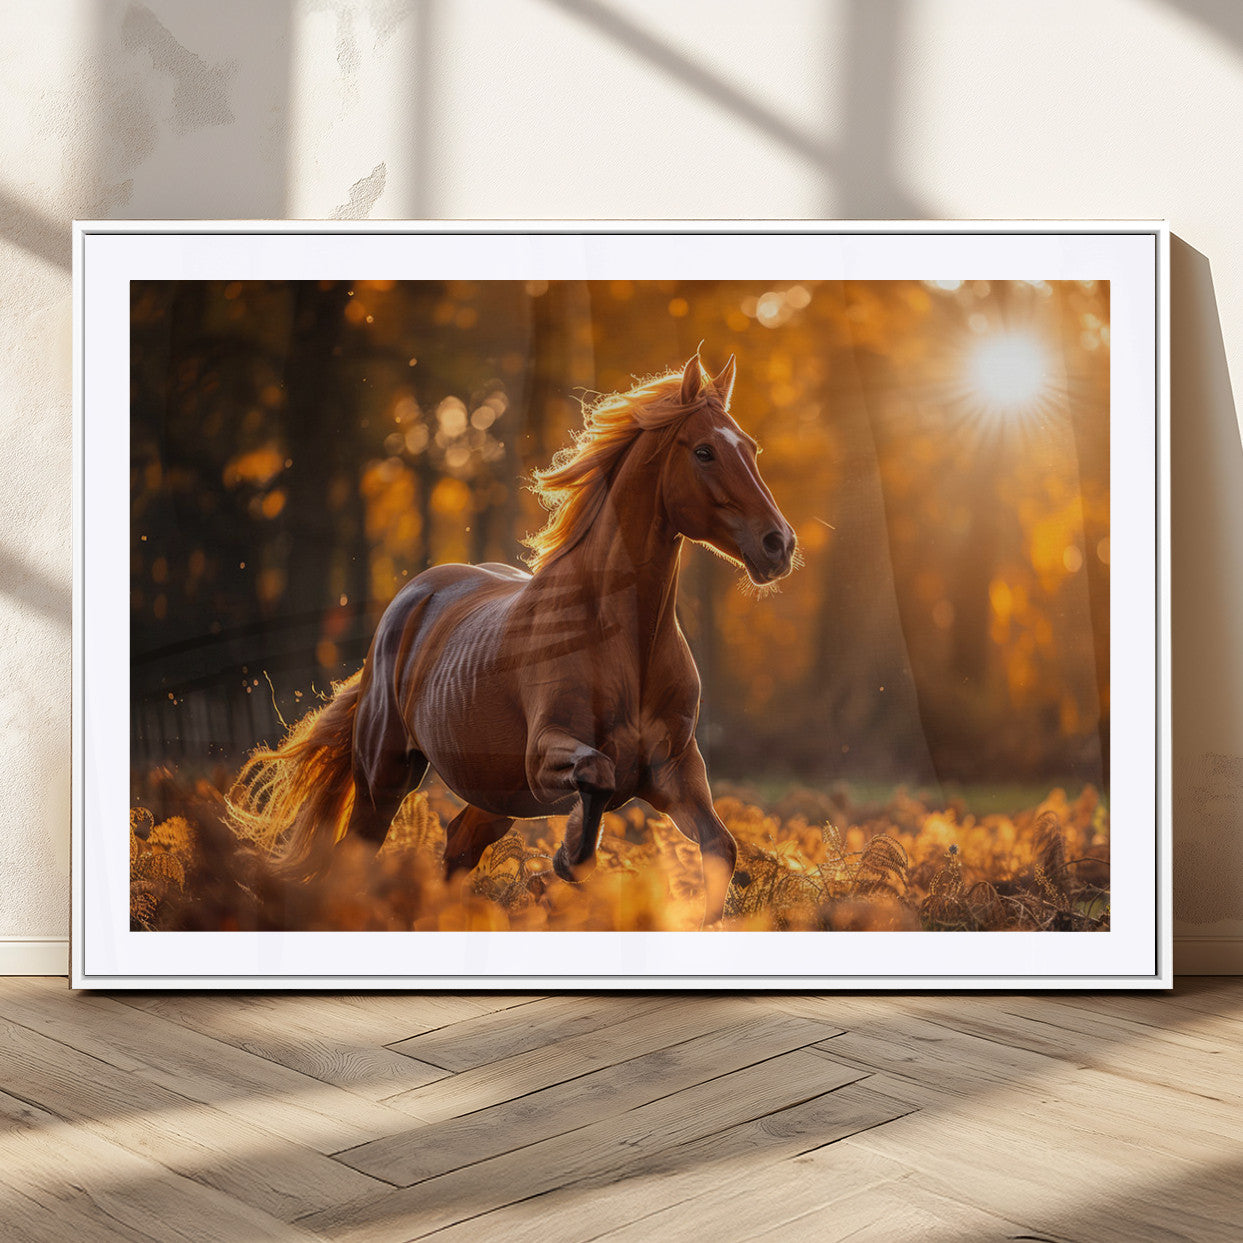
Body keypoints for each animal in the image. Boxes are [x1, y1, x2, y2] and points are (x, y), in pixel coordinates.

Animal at [227, 352, 797, 925]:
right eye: (703, 451)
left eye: (750, 448)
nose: (779, 544)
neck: (625, 644)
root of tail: (408, 601)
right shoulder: (544, 759)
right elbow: (596, 778)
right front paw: (566, 858)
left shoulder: (675, 770)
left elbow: (721, 848)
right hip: (385, 777)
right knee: (361, 854)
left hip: (492, 794)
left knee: (459, 844)